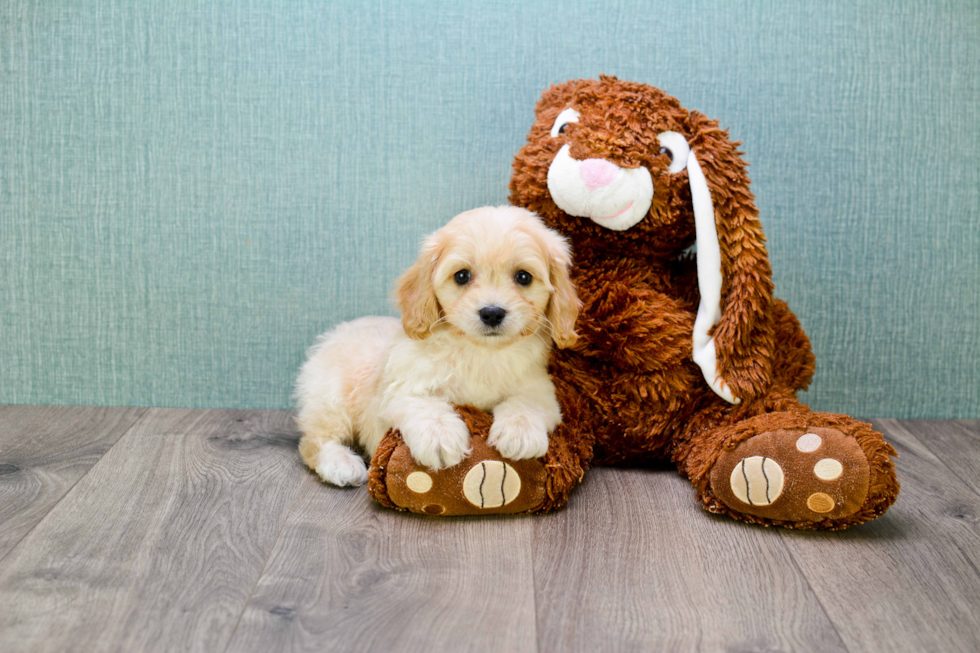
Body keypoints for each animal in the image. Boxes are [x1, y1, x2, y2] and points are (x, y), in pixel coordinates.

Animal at [294, 206, 580, 486]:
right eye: (462, 276)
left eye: (523, 277)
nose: (492, 313)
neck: (481, 352)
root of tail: (335, 333)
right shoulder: (400, 388)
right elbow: (426, 405)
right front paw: (440, 438)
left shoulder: (541, 390)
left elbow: (526, 404)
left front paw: (520, 434)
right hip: (330, 400)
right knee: (314, 441)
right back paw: (341, 464)